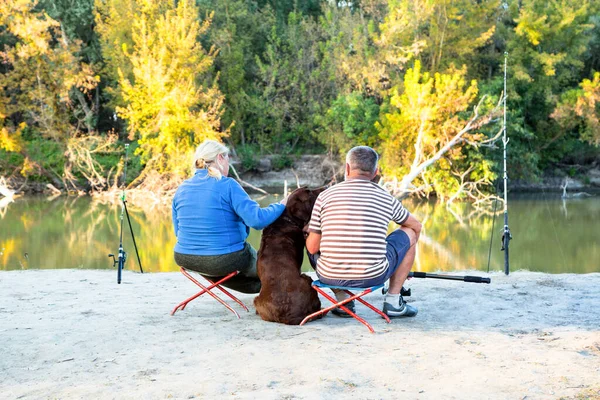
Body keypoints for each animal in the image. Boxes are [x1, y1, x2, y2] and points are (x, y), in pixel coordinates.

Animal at [254, 188, 326, 324]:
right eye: (309, 192)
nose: (323, 189)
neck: (287, 219)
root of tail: (287, 316)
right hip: (307, 278)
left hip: (256, 300)